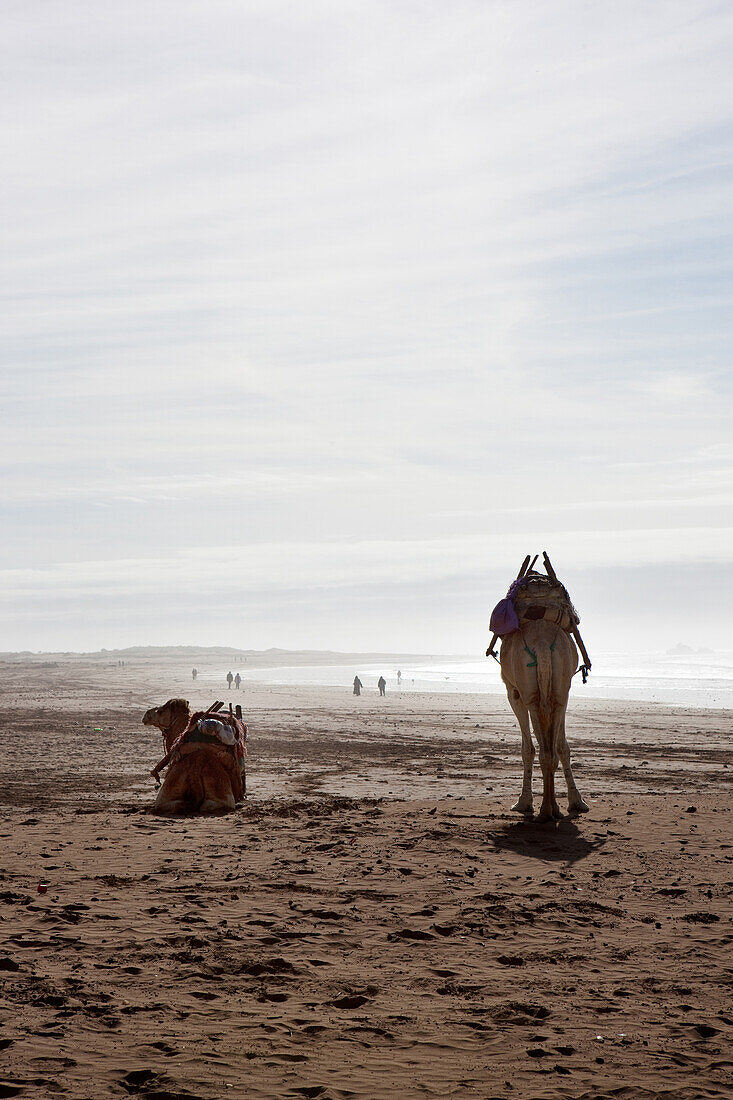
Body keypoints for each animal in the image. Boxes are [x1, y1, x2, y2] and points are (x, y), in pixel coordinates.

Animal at [497, 624, 589, 822]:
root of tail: (542, 644)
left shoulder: (513, 691)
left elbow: (527, 749)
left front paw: (523, 802)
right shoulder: (563, 695)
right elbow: (562, 747)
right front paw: (577, 801)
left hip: (529, 693)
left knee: (542, 749)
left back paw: (545, 810)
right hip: (560, 688)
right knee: (551, 752)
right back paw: (553, 808)